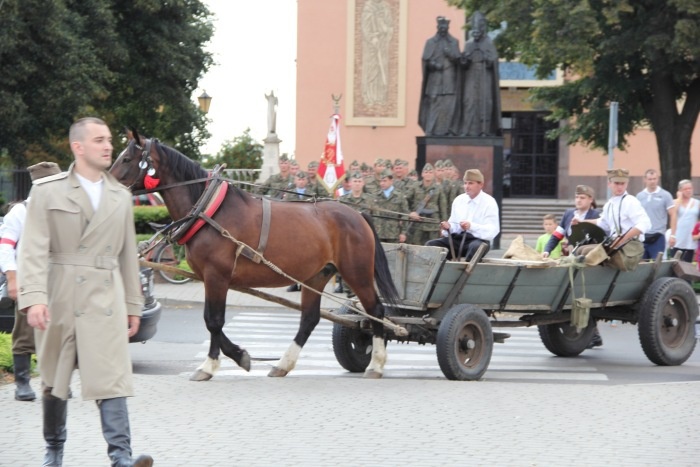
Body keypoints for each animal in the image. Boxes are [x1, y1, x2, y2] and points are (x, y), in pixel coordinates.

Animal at [110, 132, 400, 380]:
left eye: (126, 159)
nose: (105, 181)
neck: (209, 210)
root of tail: (357, 214)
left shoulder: (217, 276)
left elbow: (213, 321)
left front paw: (212, 364)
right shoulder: (208, 278)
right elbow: (212, 322)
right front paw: (239, 355)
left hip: (356, 272)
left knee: (376, 311)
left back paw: (376, 363)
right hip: (316, 276)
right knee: (309, 319)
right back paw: (283, 363)